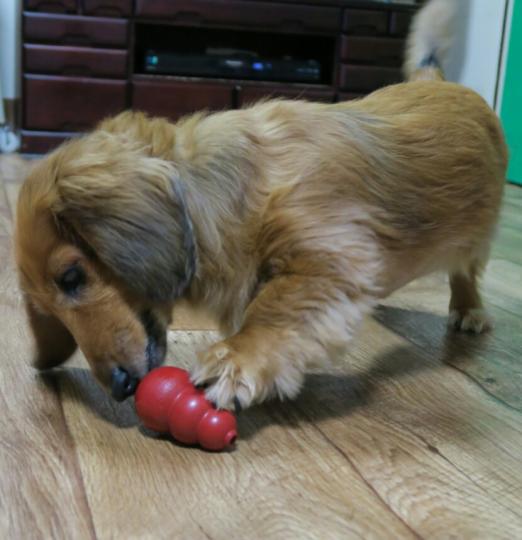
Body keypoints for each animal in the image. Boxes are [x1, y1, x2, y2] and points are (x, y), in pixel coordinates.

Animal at [15, 0, 504, 408]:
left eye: (72, 277)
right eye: (46, 310)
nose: (119, 388)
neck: (225, 193)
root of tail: (438, 81)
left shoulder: (331, 256)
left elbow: (276, 307)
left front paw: (237, 357)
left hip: (476, 233)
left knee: (466, 271)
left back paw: (468, 309)